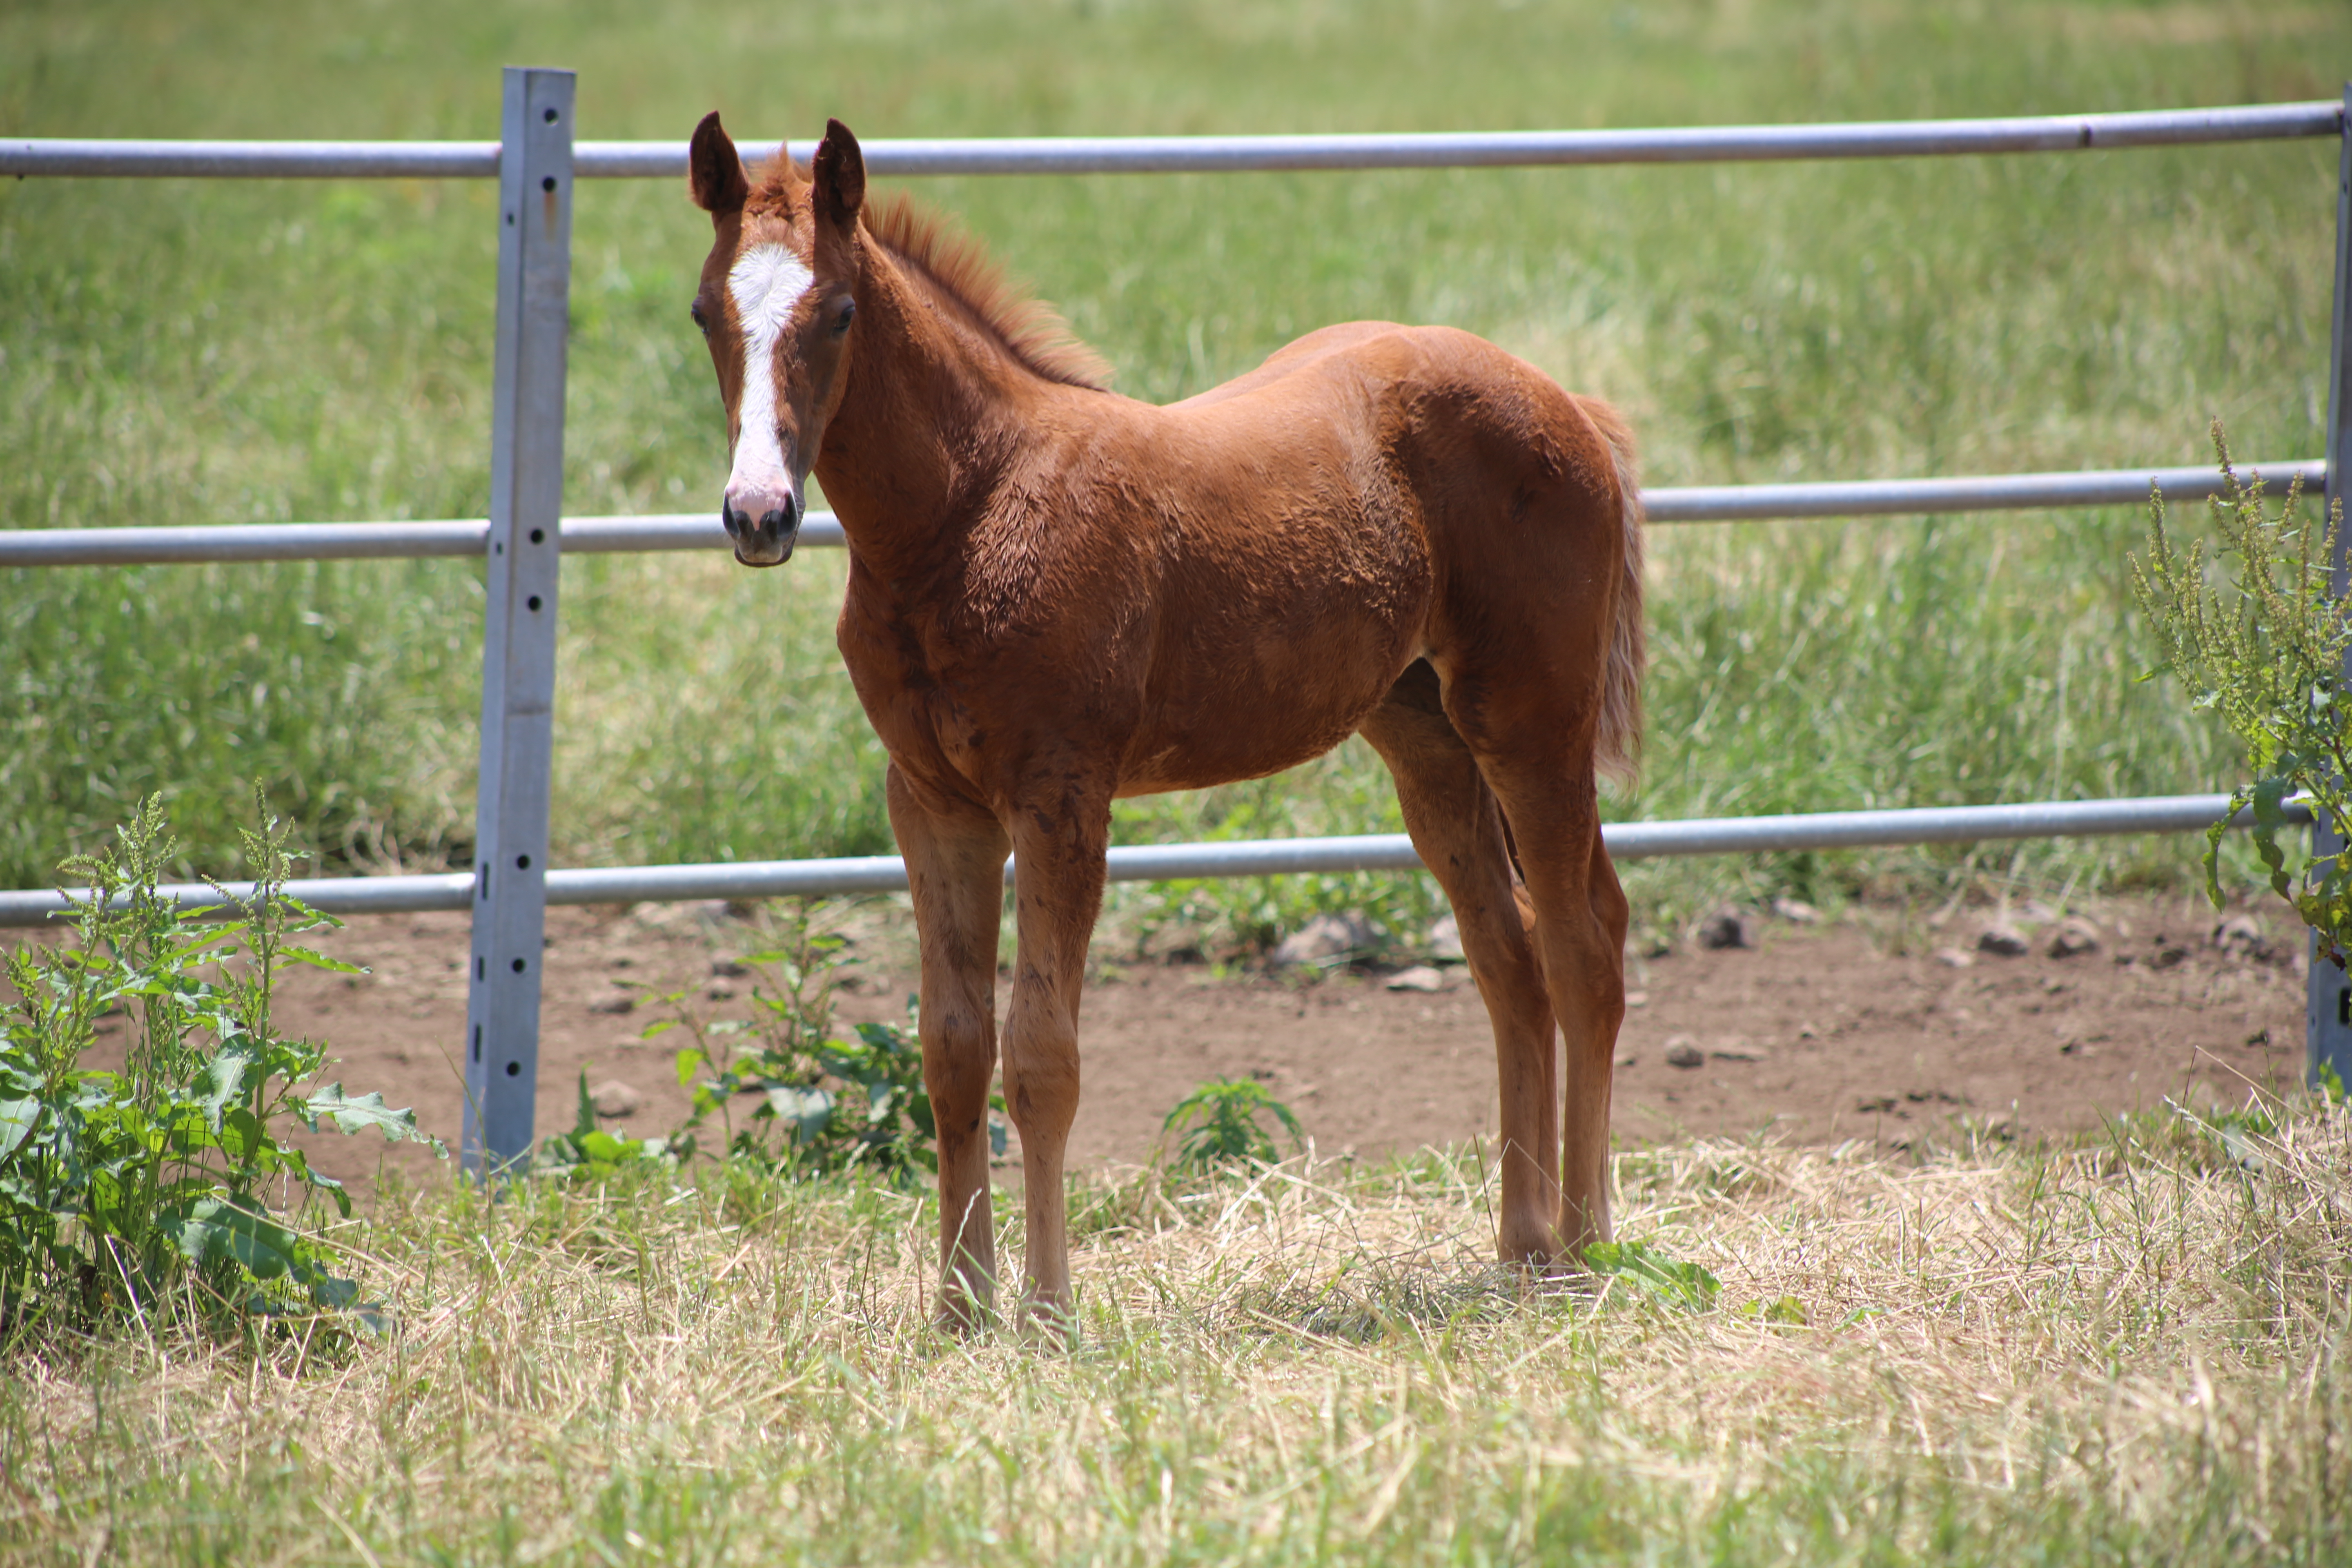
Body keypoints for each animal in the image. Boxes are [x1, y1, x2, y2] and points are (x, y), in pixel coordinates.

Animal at [682, 113, 1637, 1335]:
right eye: (706, 311)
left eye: (838, 310)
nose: (759, 514)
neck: (969, 511)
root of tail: (1570, 405)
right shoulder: (932, 801)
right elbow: (953, 1051)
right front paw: (958, 1309)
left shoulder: (1061, 796)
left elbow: (1041, 1057)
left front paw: (1046, 1311)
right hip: (1424, 739)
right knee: (1507, 959)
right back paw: (1519, 1245)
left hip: (1531, 719)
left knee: (1581, 944)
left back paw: (1586, 1244)